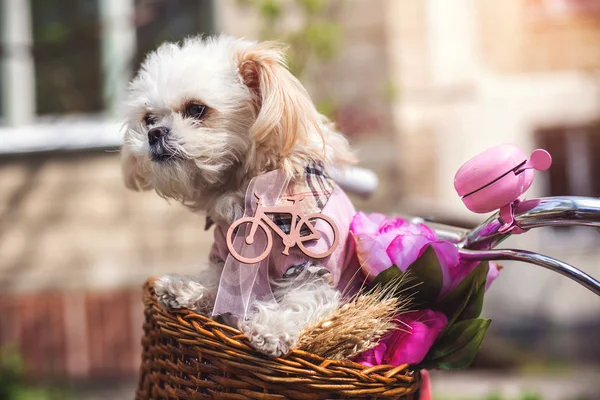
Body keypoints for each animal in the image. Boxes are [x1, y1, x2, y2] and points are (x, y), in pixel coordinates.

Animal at [120, 36, 366, 356]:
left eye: (196, 109)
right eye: (148, 119)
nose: (154, 133)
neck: (243, 193)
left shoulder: (311, 268)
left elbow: (300, 301)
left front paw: (272, 329)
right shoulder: (223, 254)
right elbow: (218, 281)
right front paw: (184, 289)